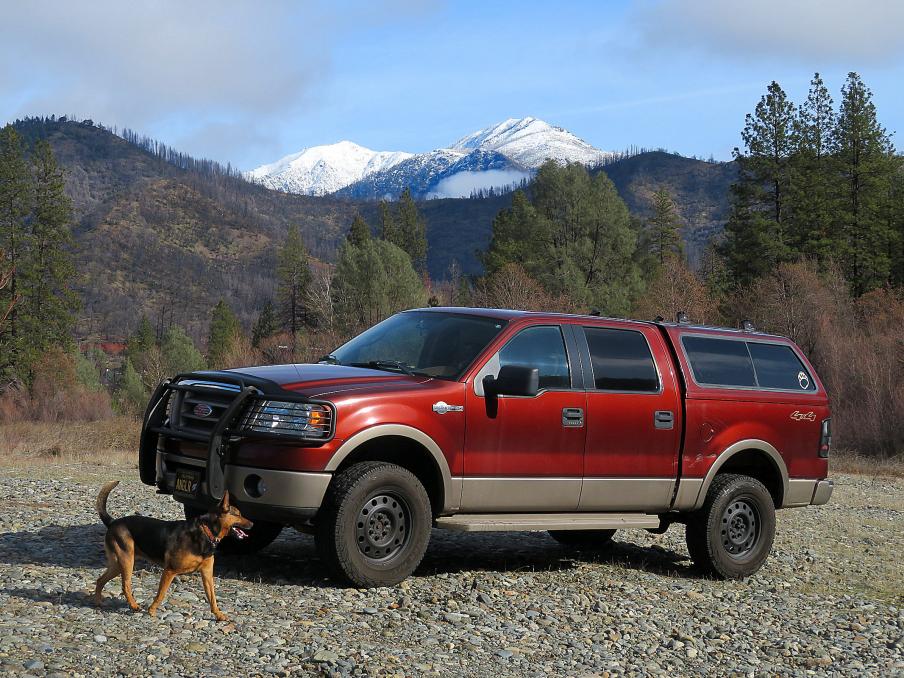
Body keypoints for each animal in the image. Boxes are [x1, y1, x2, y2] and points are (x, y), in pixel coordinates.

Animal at [92, 484, 251, 620]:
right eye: (238, 514)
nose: (252, 524)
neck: (206, 532)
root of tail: (113, 522)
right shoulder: (170, 571)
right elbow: (161, 594)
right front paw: (152, 610)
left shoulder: (206, 574)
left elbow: (212, 597)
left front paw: (218, 614)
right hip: (127, 561)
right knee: (125, 585)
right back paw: (134, 605)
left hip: (117, 565)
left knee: (100, 580)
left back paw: (98, 602)